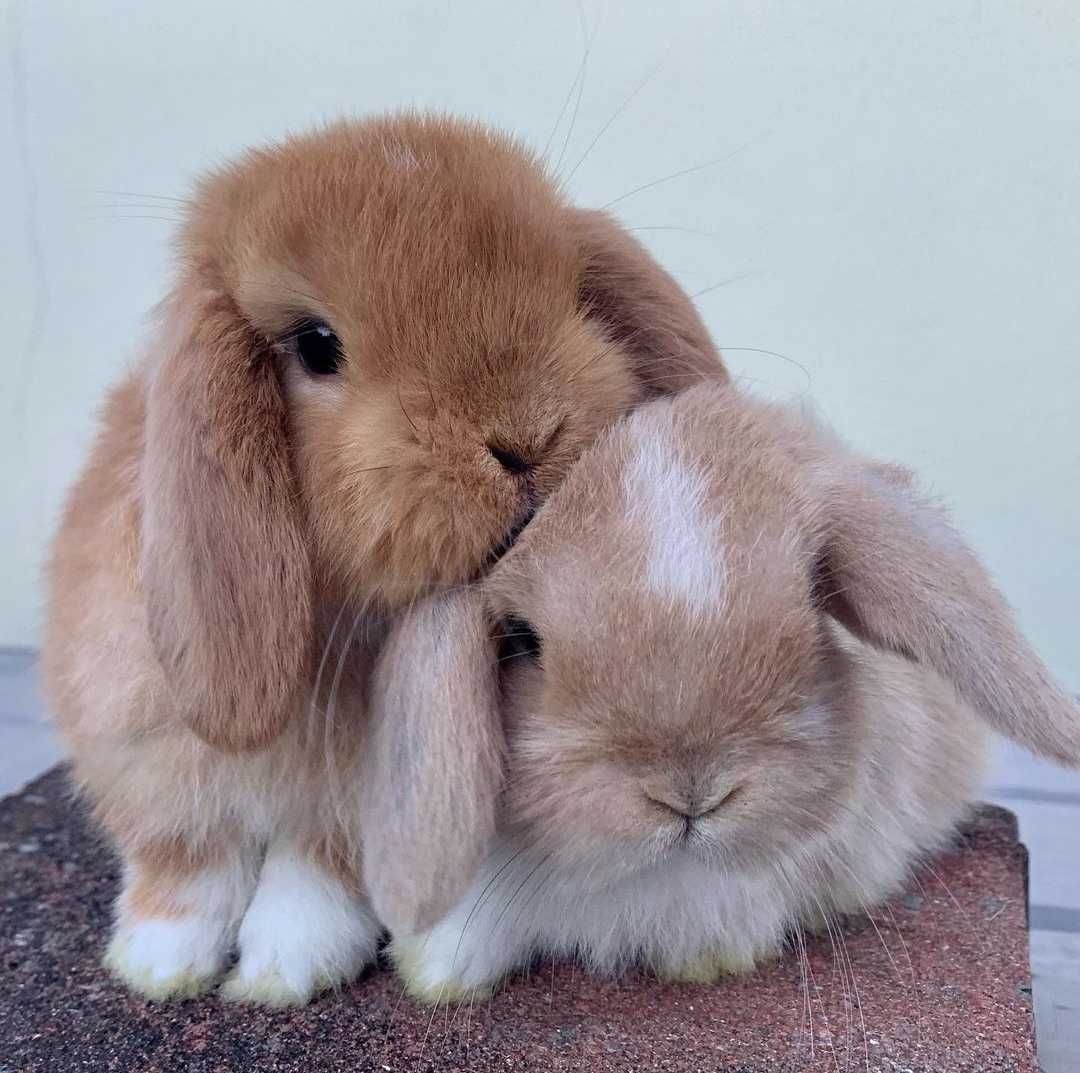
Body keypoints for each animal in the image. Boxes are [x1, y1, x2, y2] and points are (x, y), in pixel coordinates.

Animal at [39, 110, 725, 1001]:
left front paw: (283, 970)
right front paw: (159, 963)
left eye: (573, 294)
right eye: (315, 344)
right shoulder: (149, 765)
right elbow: (187, 863)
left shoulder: (355, 807)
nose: (526, 436)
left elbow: (311, 878)